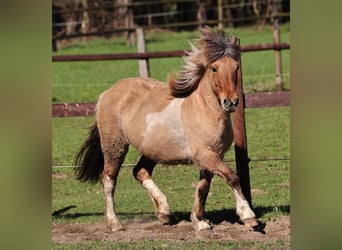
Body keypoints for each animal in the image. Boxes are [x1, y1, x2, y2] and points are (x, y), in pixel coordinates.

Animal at [74, 26, 256, 231]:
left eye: (236, 67)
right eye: (214, 68)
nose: (231, 102)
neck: (203, 110)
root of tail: (106, 93)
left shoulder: (212, 157)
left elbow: (203, 188)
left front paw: (200, 221)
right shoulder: (205, 155)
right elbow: (232, 177)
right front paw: (248, 215)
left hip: (152, 150)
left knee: (140, 171)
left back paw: (164, 212)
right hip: (115, 146)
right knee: (108, 179)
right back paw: (115, 223)